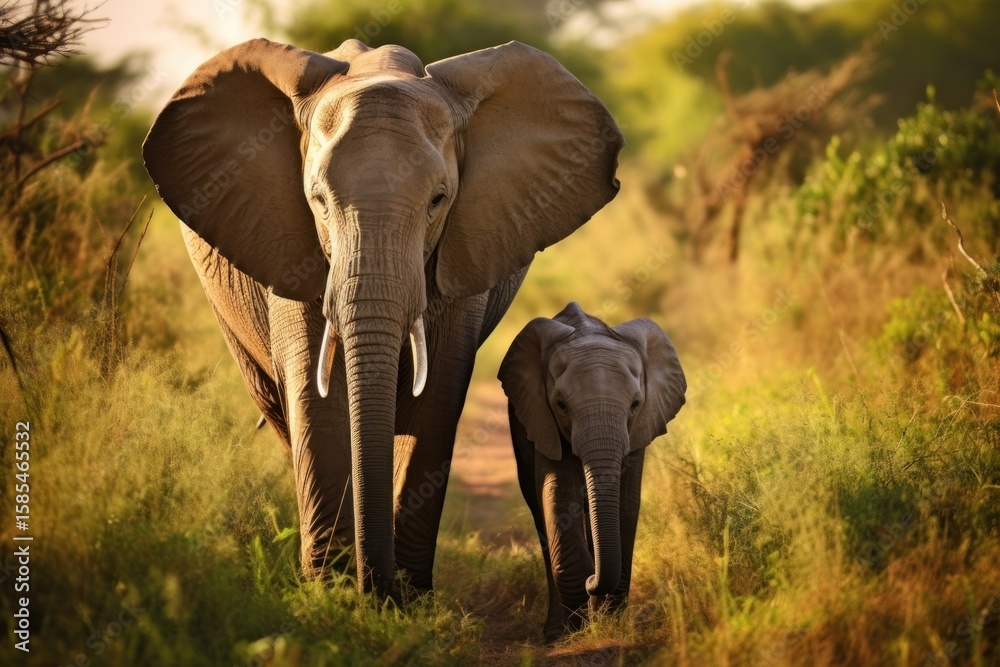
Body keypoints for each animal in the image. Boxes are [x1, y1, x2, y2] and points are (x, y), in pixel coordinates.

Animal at [142, 38, 624, 596]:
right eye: (317, 201)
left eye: (439, 200)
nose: (378, 586)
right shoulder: (290, 245)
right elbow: (318, 400)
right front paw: (332, 594)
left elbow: (436, 398)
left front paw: (406, 597)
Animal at [498, 302, 685, 641]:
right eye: (561, 404)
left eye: (635, 404)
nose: (591, 582)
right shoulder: (542, 419)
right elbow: (557, 496)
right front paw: (573, 629)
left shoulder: (639, 429)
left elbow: (626, 502)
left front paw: (610, 620)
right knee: (539, 510)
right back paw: (555, 631)